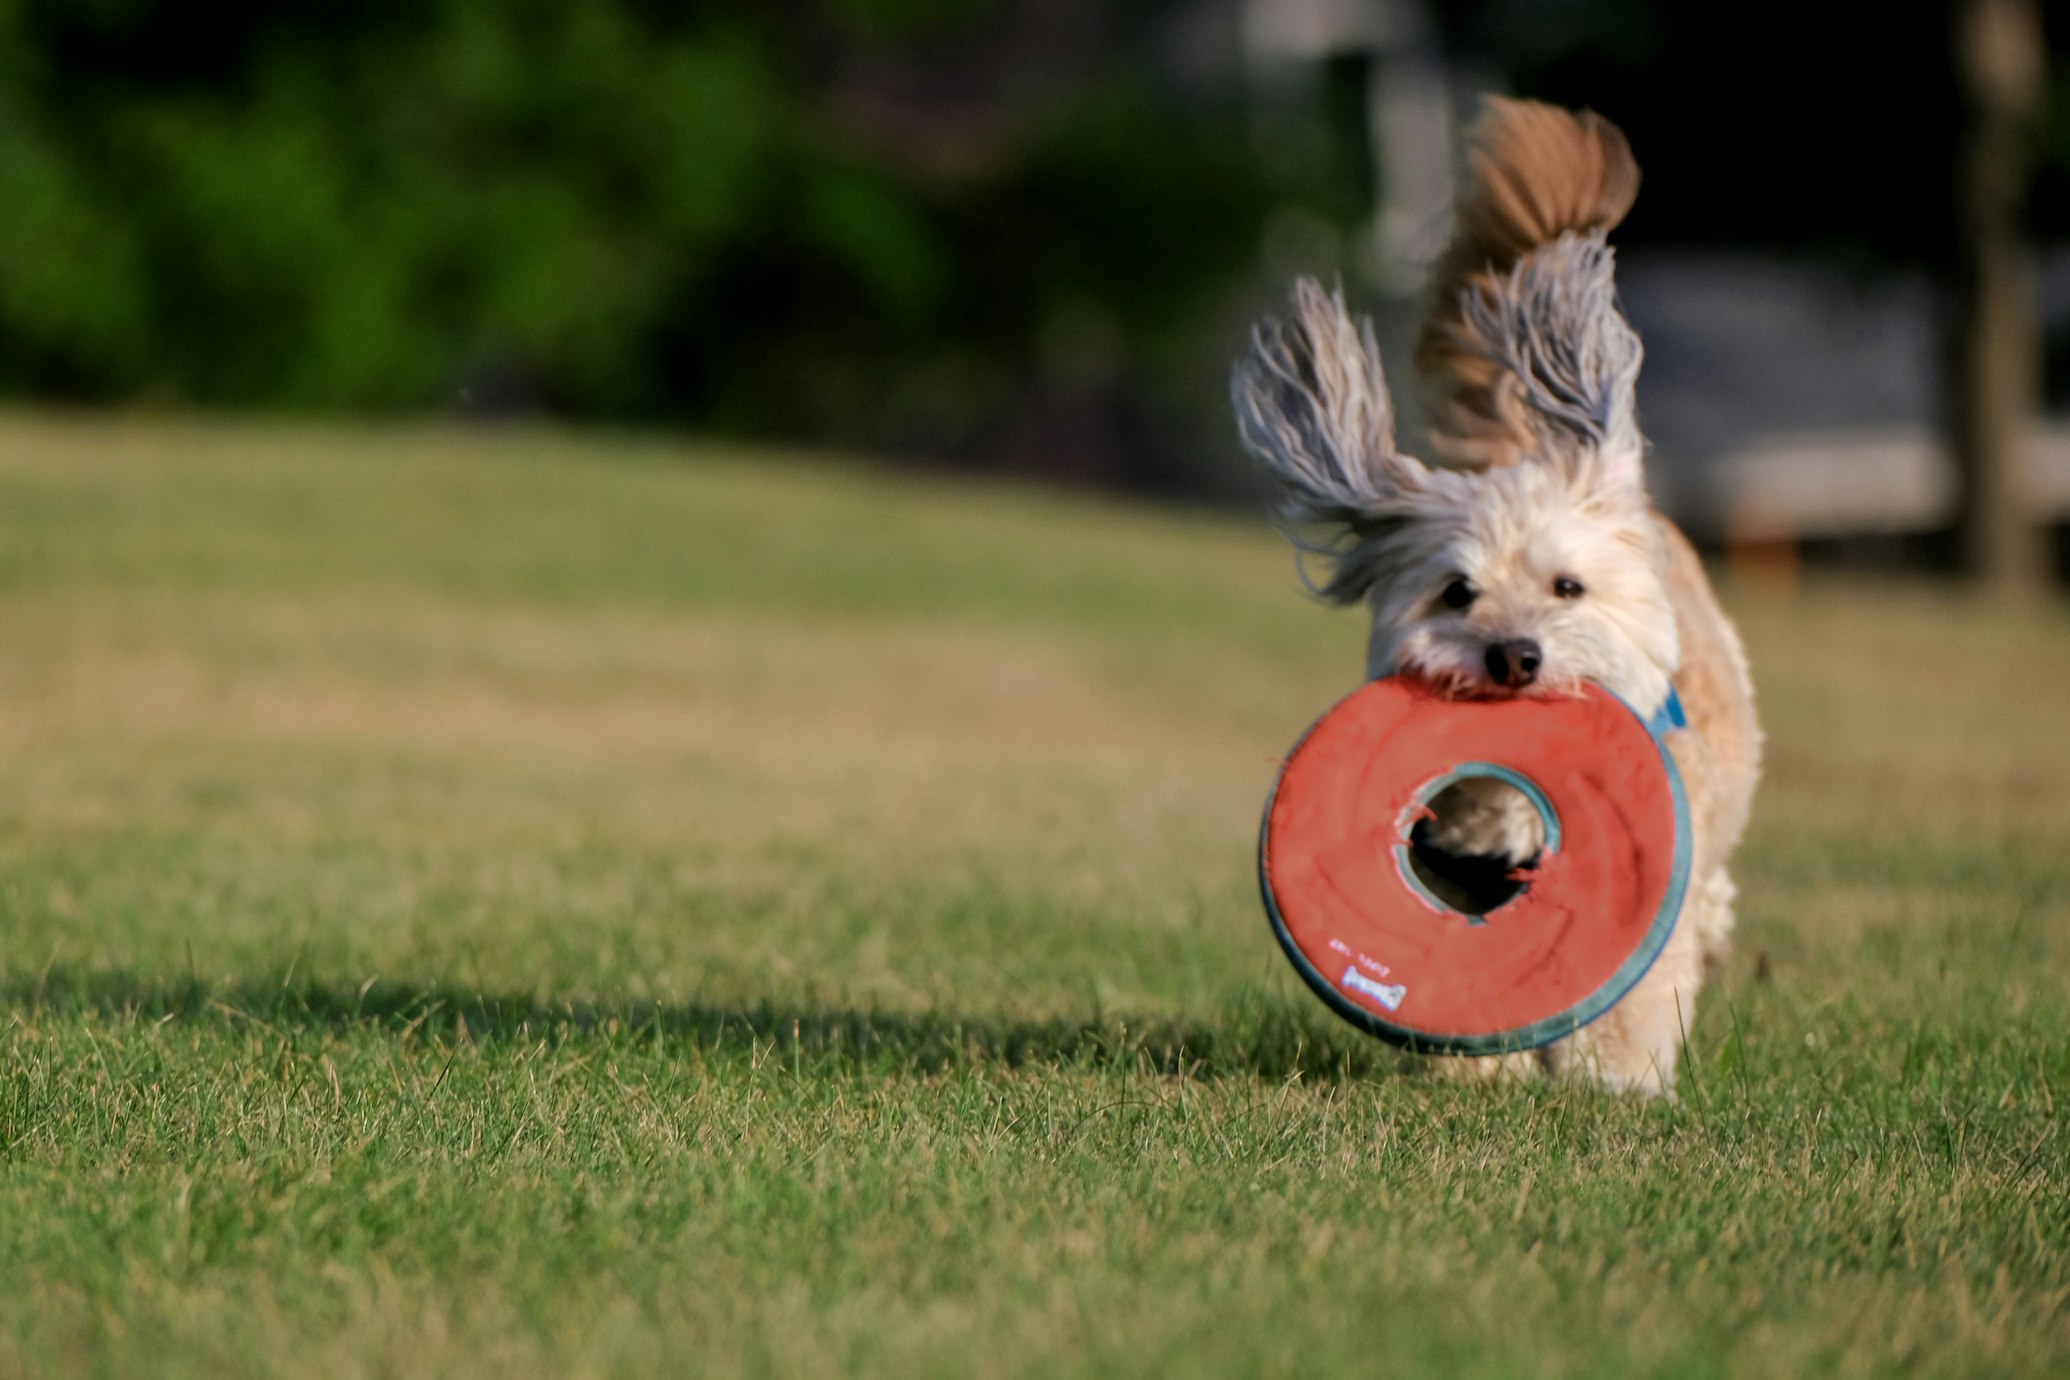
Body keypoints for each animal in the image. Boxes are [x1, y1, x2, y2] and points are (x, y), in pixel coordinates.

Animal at [1233, 97, 1755, 1092]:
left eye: (1567, 587)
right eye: (1456, 592)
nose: (1514, 653)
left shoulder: (1650, 872)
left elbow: (1633, 988)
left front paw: (1615, 1077)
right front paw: (1478, 1076)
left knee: (1708, 896)